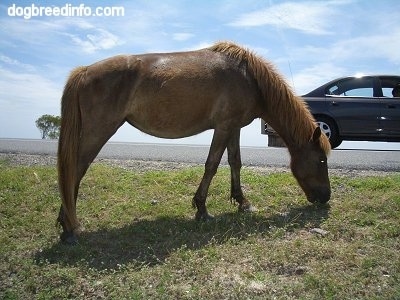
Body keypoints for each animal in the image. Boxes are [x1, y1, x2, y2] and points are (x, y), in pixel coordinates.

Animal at [57, 41, 332, 243]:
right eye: (321, 160)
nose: (326, 197)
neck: (248, 77)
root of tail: (84, 71)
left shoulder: (233, 128)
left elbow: (235, 162)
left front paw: (242, 202)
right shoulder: (223, 127)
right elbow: (212, 164)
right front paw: (202, 209)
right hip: (97, 132)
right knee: (74, 171)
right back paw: (69, 228)